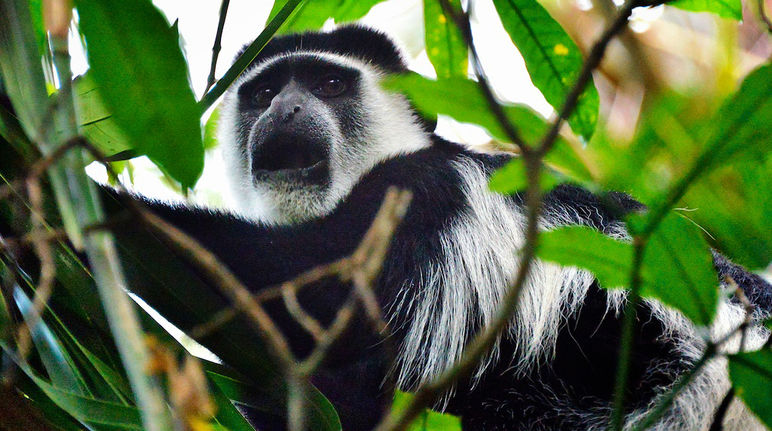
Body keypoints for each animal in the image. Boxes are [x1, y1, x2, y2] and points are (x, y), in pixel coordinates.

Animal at [111, 27, 768, 431]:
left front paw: (103, 212)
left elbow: (319, 293)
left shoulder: (420, 194)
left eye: (328, 84)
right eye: (265, 90)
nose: (285, 110)